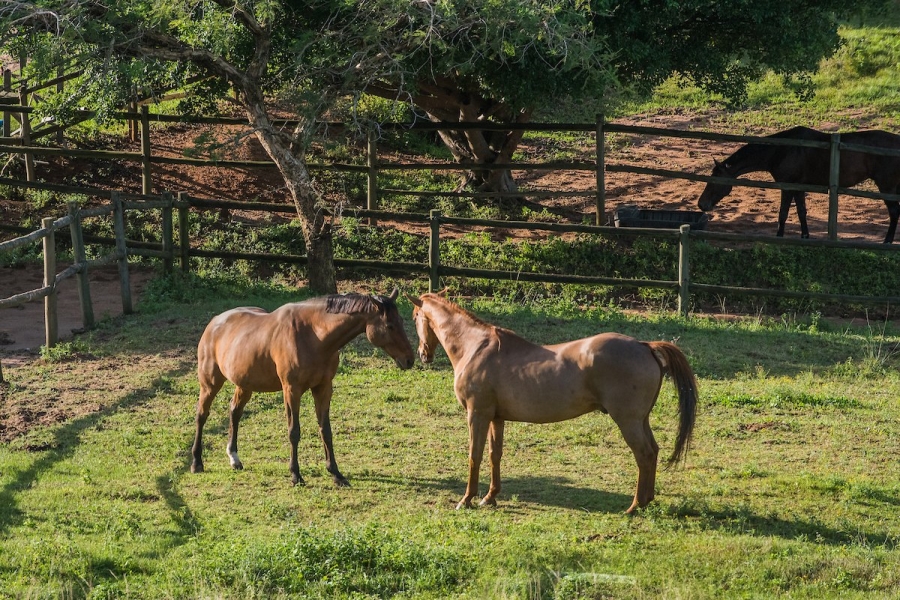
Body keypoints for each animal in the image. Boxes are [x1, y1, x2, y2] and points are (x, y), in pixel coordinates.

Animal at [192, 290, 416, 488]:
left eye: (402, 321)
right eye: (389, 325)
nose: (410, 360)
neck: (314, 335)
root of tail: (215, 322)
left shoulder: (323, 388)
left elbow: (326, 430)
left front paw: (336, 474)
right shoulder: (292, 390)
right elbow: (294, 431)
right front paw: (295, 475)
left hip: (245, 384)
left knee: (234, 412)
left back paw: (234, 458)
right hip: (210, 383)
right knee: (202, 415)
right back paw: (196, 462)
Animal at [412, 292, 700, 512]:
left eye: (415, 317)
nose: (422, 354)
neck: (476, 347)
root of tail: (644, 345)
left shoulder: (477, 415)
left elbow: (475, 455)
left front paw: (466, 499)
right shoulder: (496, 418)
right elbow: (495, 455)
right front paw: (490, 497)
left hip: (628, 421)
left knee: (644, 454)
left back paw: (634, 506)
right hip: (641, 420)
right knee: (653, 451)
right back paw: (647, 500)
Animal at [700, 125, 900, 243]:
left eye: (714, 181)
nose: (701, 204)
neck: (783, 150)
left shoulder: (788, 186)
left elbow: (783, 213)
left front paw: (779, 236)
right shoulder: (799, 188)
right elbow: (801, 212)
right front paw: (805, 236)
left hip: (886, 187)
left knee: (894, 212)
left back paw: (887, 241)